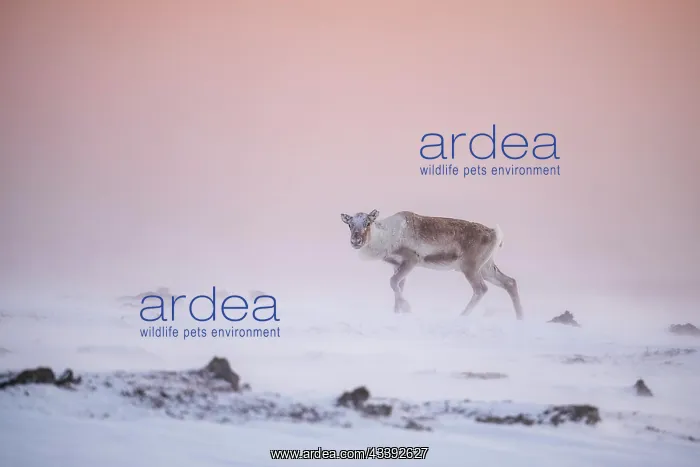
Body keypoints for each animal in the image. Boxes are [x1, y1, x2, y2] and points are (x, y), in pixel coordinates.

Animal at [340, 210, 523, 319]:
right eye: (350, 224)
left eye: (368, 222)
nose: (356, 241)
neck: (385, 237)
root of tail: (495, 234)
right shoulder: (397, 265)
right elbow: (398, 286)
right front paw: (398, 312)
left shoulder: (411, 260)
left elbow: (393, 283)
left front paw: (407, 308)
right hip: (486, 267)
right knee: (510, 282)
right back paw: (520, 318)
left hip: (470, 267)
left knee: (481, 289)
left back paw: (461, 316)